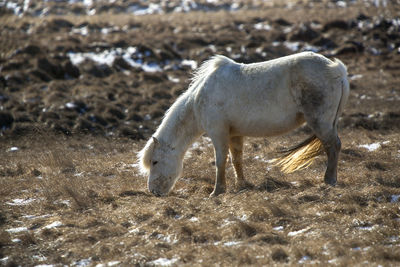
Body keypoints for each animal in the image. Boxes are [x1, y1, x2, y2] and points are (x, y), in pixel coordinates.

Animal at [139, 51, 348, 197]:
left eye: (155, 161)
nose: (153, 192)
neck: (199, 99)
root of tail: (336, 69)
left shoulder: (218, 133)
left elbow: (220, 161)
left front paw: (217, 191)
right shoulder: (235, 134)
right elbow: (236, 160)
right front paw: (241, 185)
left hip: (320, 122)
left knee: (333, 146)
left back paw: (329, 180)